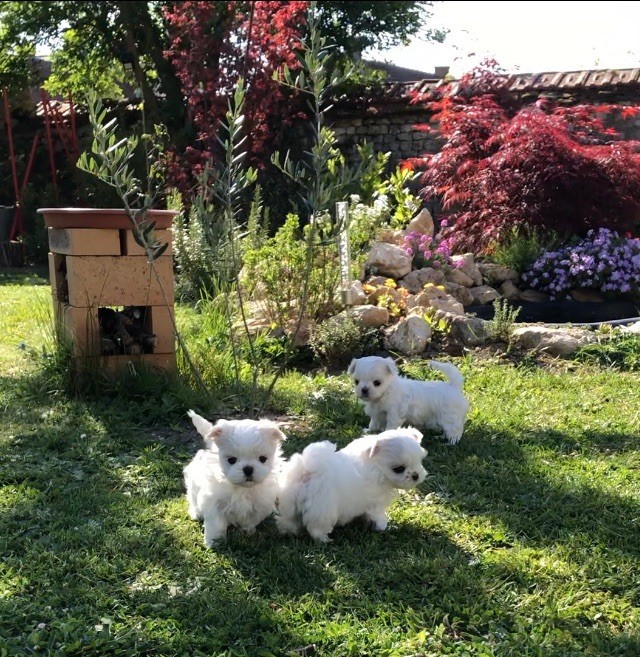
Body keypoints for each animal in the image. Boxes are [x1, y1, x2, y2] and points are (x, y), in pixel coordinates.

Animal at [184, 410, 286, 544]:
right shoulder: (214, 503)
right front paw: (213, 541)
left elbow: (250, 520)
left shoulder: (258, 504)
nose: (248, 469)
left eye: (263, 459)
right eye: (231, 460)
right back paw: (196, 513)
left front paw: (247, 531)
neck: (242, 489)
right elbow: (215, 524)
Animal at [276, 428, 424, 540]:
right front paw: (382, 526)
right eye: (399, 469)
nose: (416, 475)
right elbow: (377, 515)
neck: (375, 466)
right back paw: (324, 539)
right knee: (316, 528)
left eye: (419, 461)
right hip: (323, 509)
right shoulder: (375, 502)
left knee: (289, 520)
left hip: (290, 504)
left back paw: (288, 531)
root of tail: (307, 472)